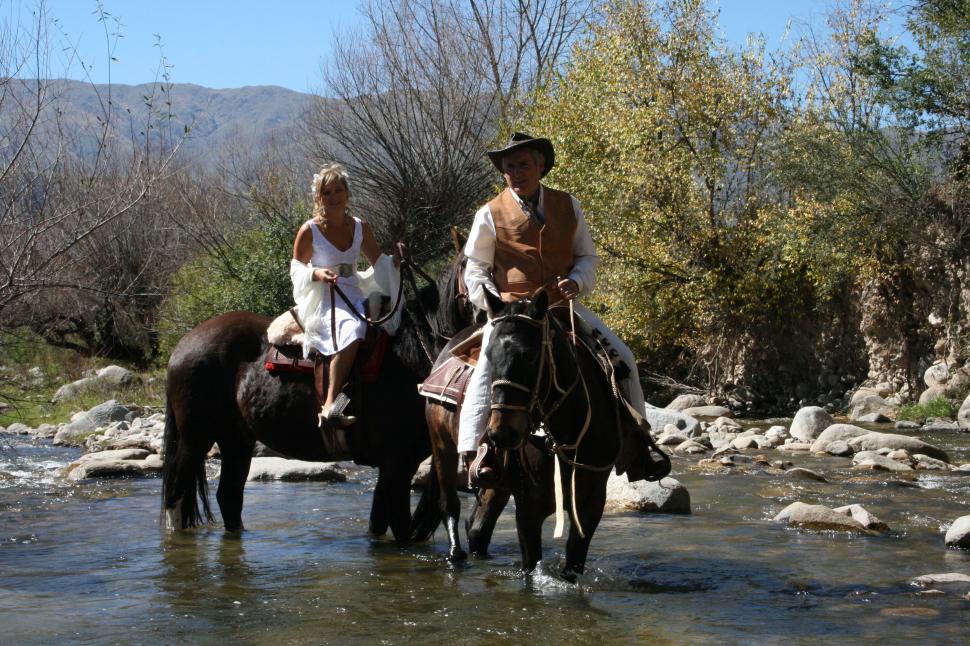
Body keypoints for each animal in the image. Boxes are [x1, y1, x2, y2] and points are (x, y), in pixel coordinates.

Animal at [159, 256, 468, 544]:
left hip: (236, 439)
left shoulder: (394, 465)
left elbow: (378, 524)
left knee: (229, 497)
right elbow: (400, 531)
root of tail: (184, 343)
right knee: (176, 494)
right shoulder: (398, 462)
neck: (414, 352)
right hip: (195, 438)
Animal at [416, 292, 628, 580]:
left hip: (495, 480)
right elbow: (530, 569)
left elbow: (573, 564)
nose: (501, 433)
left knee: (478, 527)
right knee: (450, 506)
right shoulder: (528, 507)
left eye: (530, 355)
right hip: (443, 449)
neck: (567, 436)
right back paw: (455, 556)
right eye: (488, 356)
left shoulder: (590, 505)